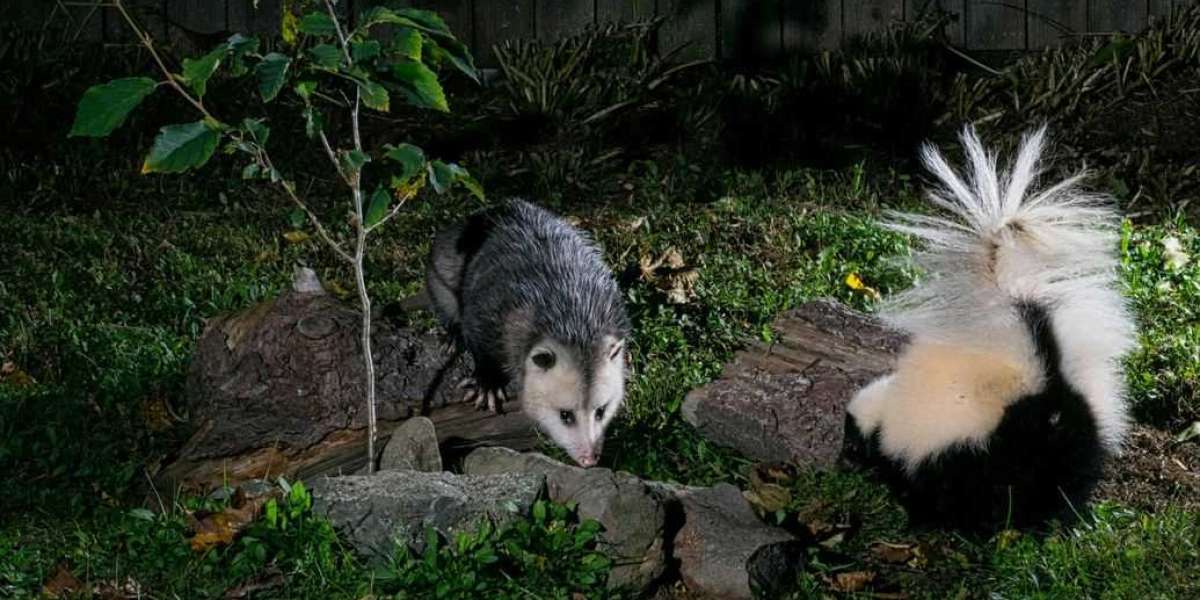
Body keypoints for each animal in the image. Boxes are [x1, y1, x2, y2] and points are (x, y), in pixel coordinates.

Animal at [844, 126, 1132, 530]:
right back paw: (1062, 521)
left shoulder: (937, 458)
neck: (887, 410)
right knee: (1072, 476)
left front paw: (920, 517)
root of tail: (1043, 378)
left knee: (1009, 489)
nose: (843, 458)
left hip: (1001, 446)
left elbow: (927, 492)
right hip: (1081, 430)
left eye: (852, 440)